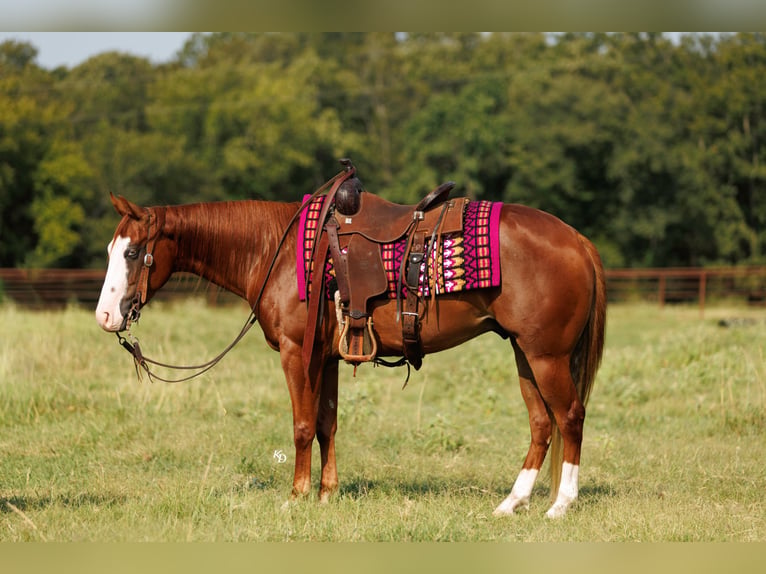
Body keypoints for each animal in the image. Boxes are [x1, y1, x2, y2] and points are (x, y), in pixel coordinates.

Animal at [95, 181, 606, 519]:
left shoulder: (296, 353)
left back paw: (561, 505)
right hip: (525, 353)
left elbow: (302, 426)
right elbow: (327, 424)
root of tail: (577, 239)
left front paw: (298, 495)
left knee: (570, 417)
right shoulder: (326, 358)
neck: (278, 250)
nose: (104, 316)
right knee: (541, 424)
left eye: (131, 253)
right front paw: (327, 493)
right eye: (110, 250)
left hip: (547, 357)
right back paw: (511, 503)